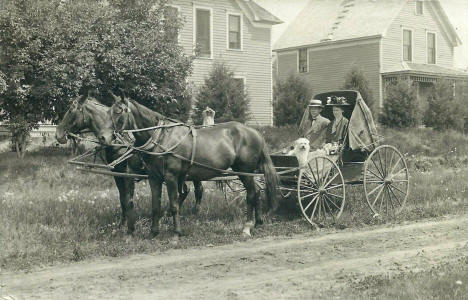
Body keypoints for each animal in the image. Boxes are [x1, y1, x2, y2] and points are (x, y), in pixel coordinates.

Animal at [54, 95, 203, 233]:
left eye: (71, 110)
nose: (58, 135)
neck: (119, 142)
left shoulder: (127, 173)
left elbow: (128, 199)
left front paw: (129, 225)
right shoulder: (117, 174)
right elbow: (122, 199)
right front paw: (123, 223)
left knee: (192, 190)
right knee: (191, 190)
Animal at [103, 93, 278, 239]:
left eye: (118, 112)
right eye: (108, 112)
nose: (104, 137)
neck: (161, 136)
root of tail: (255, 132)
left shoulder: (171, 177)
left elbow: (174, 205)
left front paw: (176, 233)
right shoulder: (154, 178)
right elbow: (155, 205)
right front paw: (153, 232)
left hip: (244, 171)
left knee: (251, 195)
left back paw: (247, 227)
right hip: (247, 172)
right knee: (256, 193)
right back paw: (257, 222)